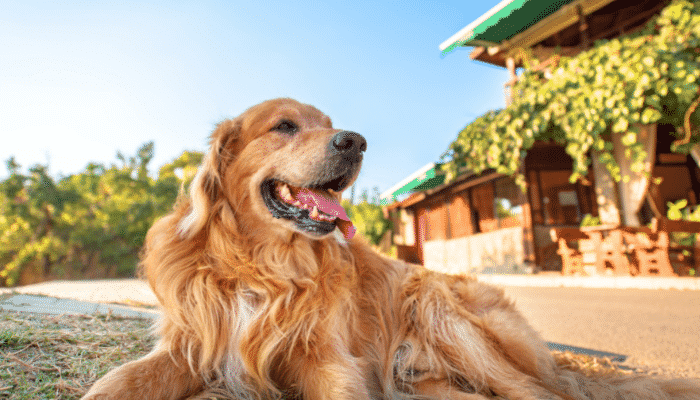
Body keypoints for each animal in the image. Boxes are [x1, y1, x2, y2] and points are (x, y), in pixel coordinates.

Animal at [85, 97, 700, 400]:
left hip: (436, 302)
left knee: (540, 395)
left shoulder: (328, 361)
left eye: (330, 123)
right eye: (283, 126)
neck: (262, 266)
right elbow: (117, 382)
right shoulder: (193, 345)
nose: (355, 141)